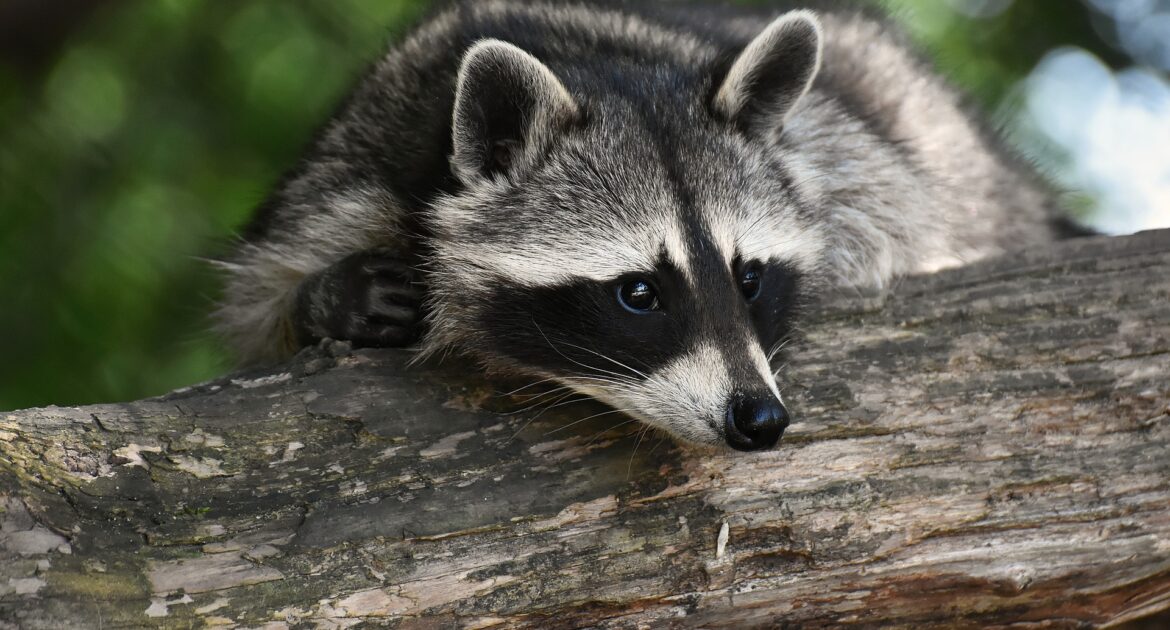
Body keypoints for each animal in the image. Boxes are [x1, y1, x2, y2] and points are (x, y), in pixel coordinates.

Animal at [215, 1, 1067, 452]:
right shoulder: (353, 165)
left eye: (749, 278)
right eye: (638, 293)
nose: (760, 420)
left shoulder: (851, 157)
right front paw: (329, 298)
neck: (597, 64)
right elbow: (260, 301)